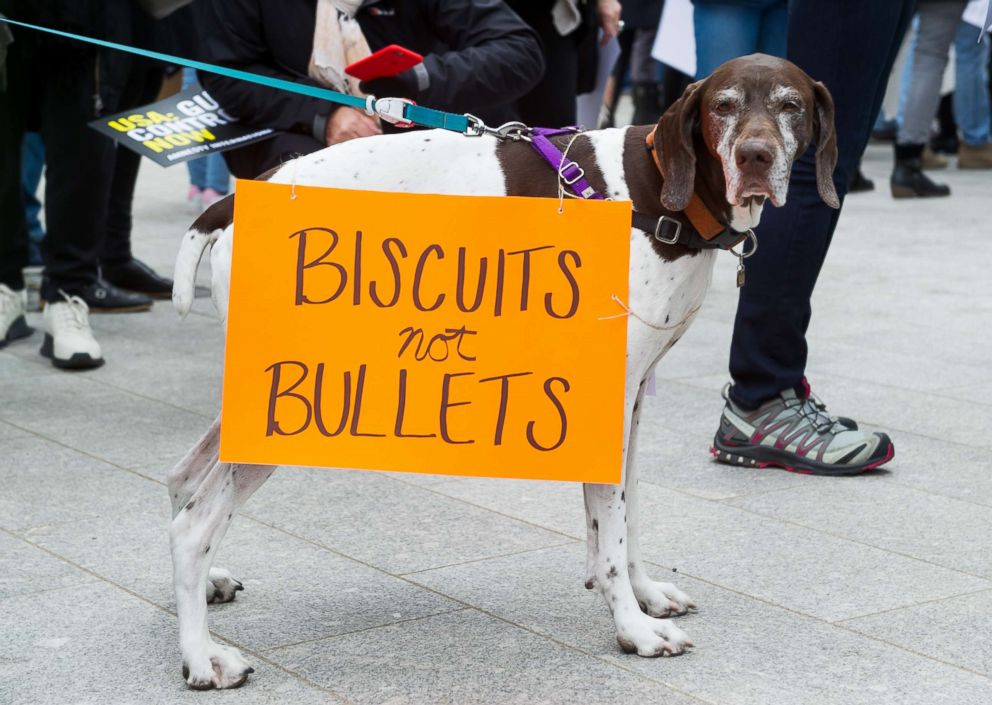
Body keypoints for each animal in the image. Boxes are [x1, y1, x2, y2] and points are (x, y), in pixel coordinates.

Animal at [169, 53, 836, 688]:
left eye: (791, 105)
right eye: (724, 105)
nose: (756, 156)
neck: (657, 194)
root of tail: (241, 195)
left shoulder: (631, 397)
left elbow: (624, 513)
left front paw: (643, 595)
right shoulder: (609, 394)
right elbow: (613, 530)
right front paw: (633, 627)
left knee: (182, 481)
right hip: (288, 401)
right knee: (194, 525)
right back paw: (203, 658)